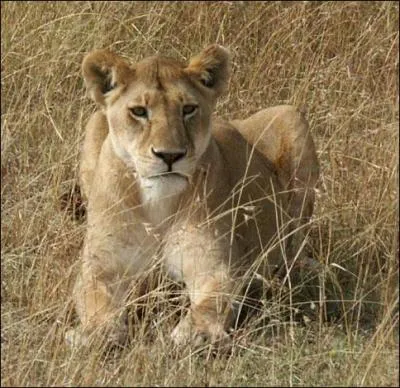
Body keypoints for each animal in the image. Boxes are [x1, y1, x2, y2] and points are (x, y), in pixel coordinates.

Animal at [68, 44, 318, 348]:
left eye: (188, 109)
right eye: (139, 111)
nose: (169, 155)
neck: (158, 203)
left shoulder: (216, 266)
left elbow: (213, 302)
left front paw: (196, 333)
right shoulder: (100, 265)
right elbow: (96, 298)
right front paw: (97, 332)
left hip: (290, 117)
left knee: (296, 248)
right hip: (95, 122)